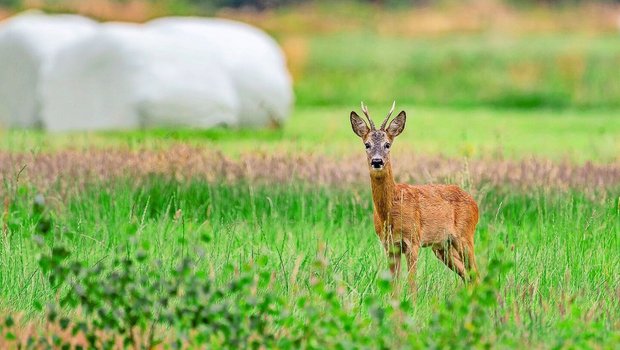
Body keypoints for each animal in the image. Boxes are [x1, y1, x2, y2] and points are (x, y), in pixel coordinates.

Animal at [348, 101, 480, 292]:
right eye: (367, 144)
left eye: (387, 144)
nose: (377, 161)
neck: (391, 210)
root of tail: (475, 203)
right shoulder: (390, 245)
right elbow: (394, 285)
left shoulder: (413, 240)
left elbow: (411, 284)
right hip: (442, 247)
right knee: (468, 275)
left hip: (465, 236)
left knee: (476, 273)